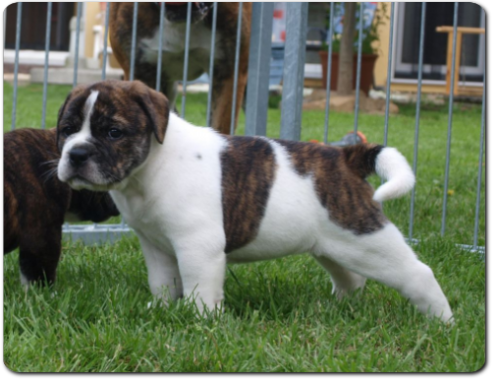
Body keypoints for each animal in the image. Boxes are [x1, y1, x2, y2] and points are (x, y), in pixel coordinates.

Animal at [56, 80, 452, 320]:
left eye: (113, 132)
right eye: (67, 130)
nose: (76, 154)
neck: (151, 165)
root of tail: (346, 157)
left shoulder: (197, 246)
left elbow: (199, 285)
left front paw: (199, 320)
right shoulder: (156, 246)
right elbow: (163, 281)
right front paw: (162, 308)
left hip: (369, 239)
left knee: (417, 273)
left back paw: (441, 321)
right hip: (333, 245)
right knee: (351, 278)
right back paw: (338, 310)